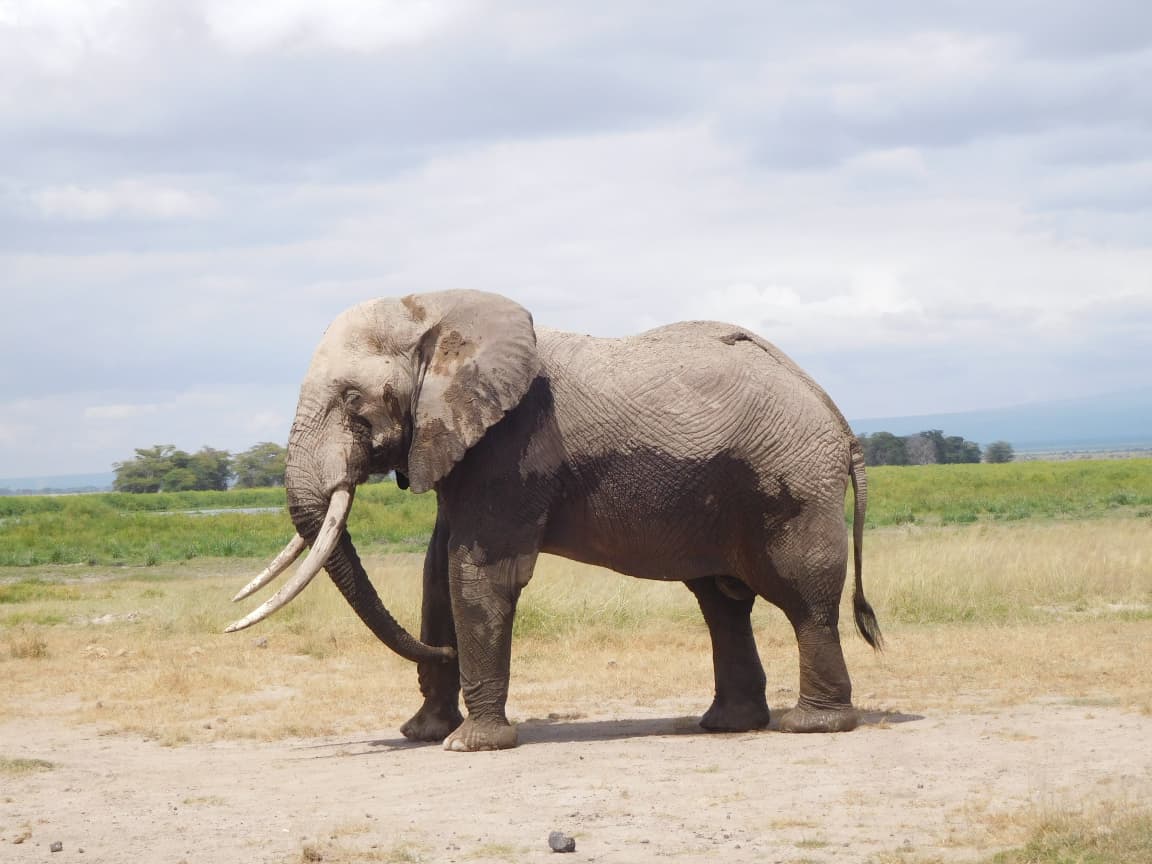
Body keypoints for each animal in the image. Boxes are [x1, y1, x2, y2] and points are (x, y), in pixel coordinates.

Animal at [227, 290, 883, 751]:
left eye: (353, 402)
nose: (439, 653)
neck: (437, 315)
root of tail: (840, 418)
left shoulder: (510, 446)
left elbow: (477, 575)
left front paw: (469, 744)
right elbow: (436, 573)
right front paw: (423, 732)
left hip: (792, 483)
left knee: (802, 598)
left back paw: (811, 725)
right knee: (722, 603)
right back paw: (727, 724)